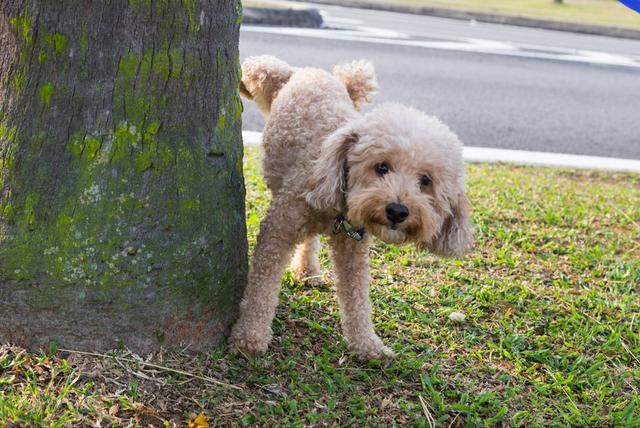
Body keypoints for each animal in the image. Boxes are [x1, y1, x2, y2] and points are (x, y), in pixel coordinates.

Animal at [229, 55, 470, 360]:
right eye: (381, 167)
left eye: (425, 180)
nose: (397, 211)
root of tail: (311, 72)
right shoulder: (278, 230)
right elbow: (262, 287)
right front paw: (250, 336)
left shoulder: (352, 248)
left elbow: (356, 298)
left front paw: (367, 344)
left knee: (310, 241)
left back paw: (307, 270)